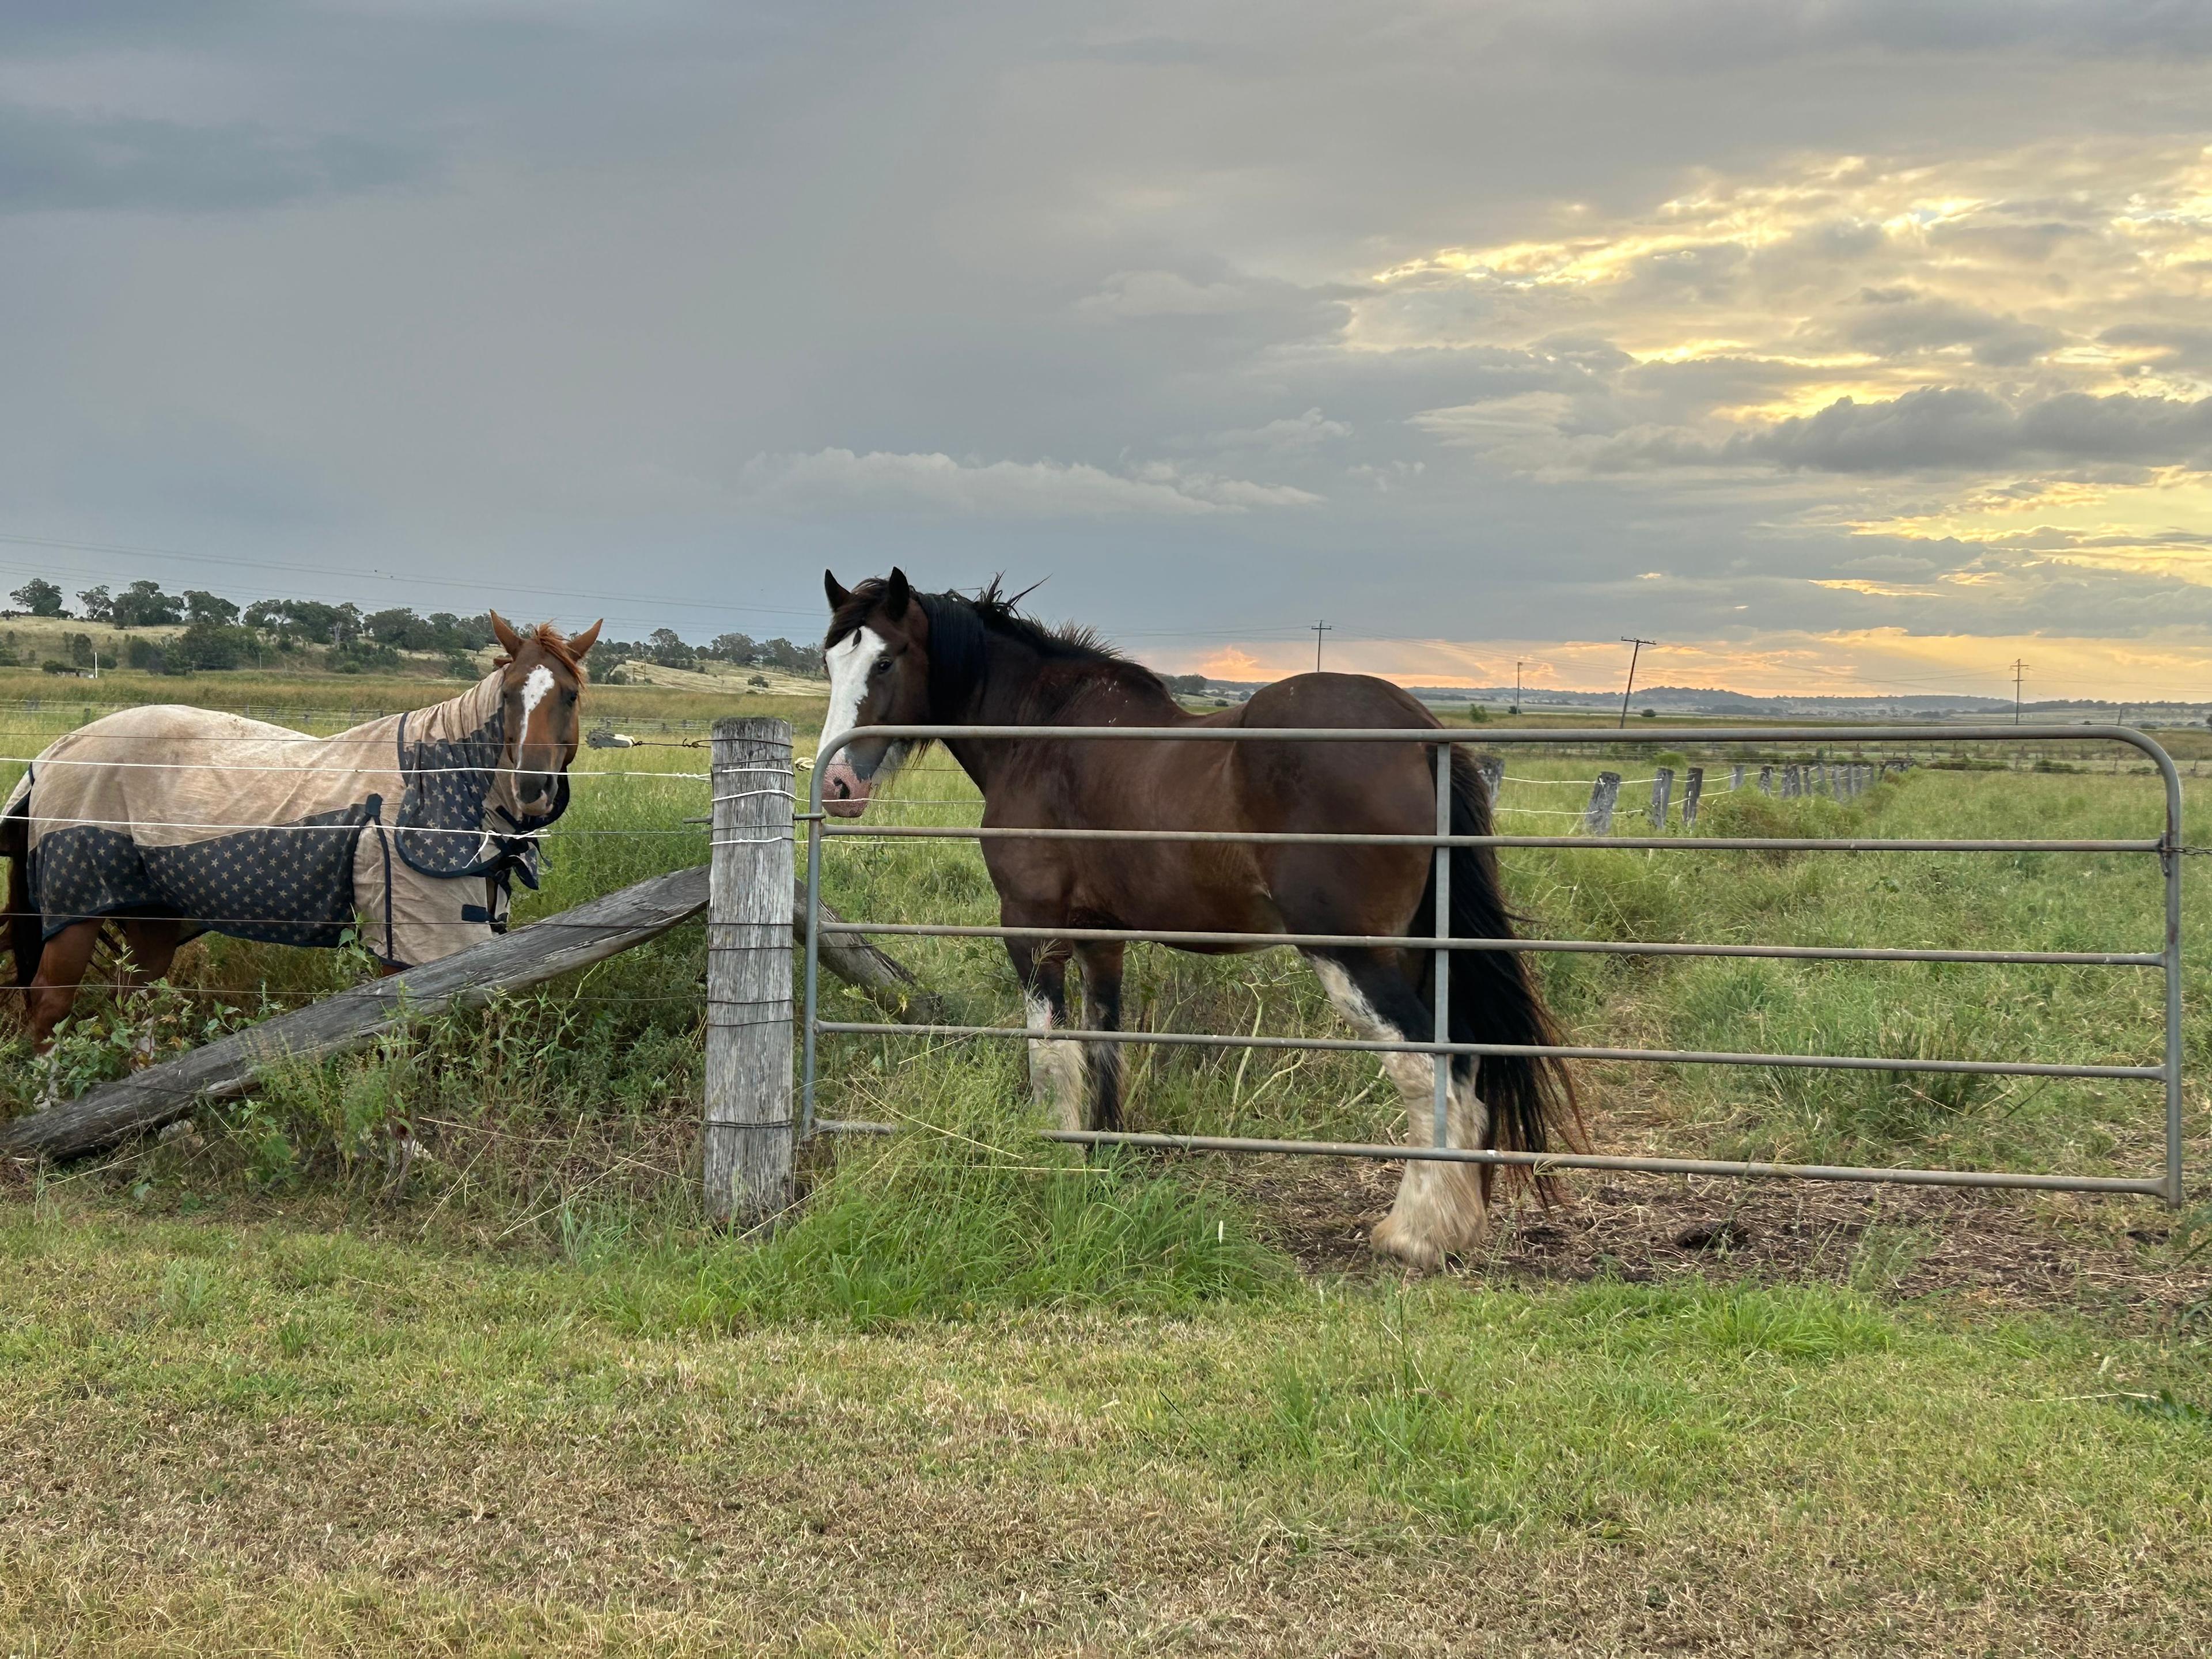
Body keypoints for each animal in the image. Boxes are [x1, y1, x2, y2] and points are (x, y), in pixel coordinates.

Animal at [1, 613, 599, 1051]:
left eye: (569, 695)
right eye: (510, 695)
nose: (531, 786)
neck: (437, 778)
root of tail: (53, 755)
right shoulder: (406, 941)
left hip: (151, 917)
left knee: (137, 1001)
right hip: (76, 914)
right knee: (49, 1006)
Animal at [817, 568, 1577, 1269]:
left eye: (885, 660)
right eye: (831, 661)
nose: (837, 786)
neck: (1043, 733)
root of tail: (1420, 735)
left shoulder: (1033, 932)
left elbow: (1050, 1055)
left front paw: (1054, 1153)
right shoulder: (1101, 940)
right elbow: (1104, 1045)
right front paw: (1104, 1155)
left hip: (1353, 956)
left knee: (1430, 1068)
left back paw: (1416, 1235)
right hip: (1418, 951)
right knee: (1465, 1064)